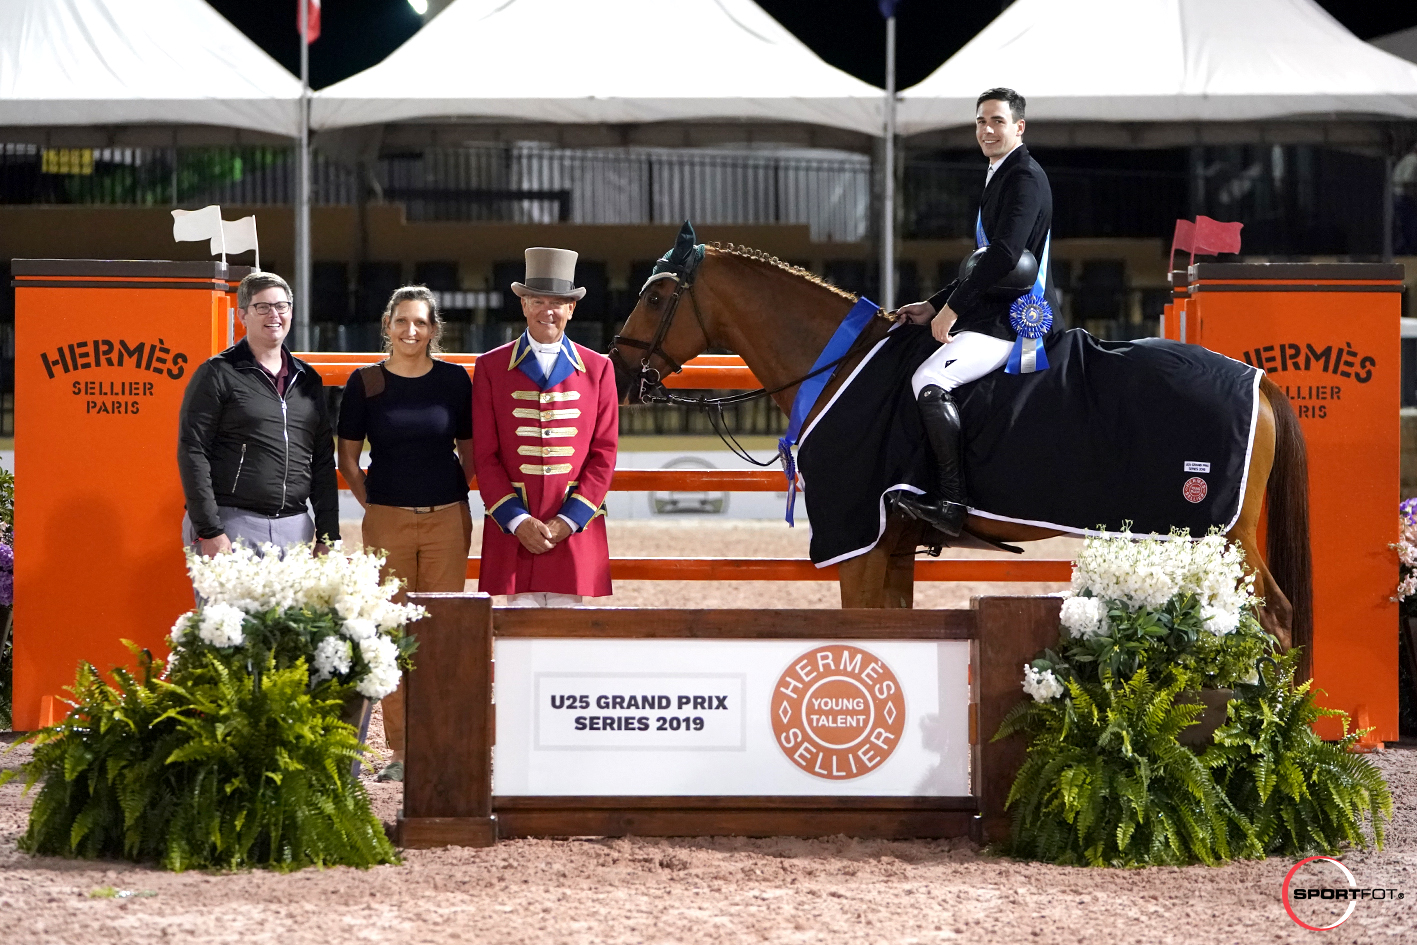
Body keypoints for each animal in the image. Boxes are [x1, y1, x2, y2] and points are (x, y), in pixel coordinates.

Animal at [614, 243, 1309, 657]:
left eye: (656, 296)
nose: (619, 372)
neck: (837, 364)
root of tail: (1257, 381)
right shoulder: (890, 544)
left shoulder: (858, 537)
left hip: (1226, 536)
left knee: (1275, 616)